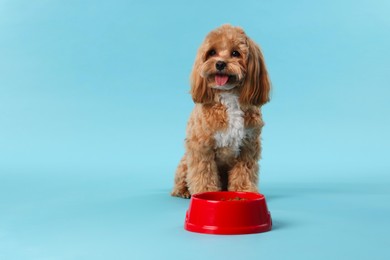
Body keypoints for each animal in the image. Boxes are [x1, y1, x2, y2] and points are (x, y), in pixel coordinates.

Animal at [172, 24, 270, 199]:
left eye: (235, 53)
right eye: (212, 52)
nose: (219, 64)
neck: (229, 97)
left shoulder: (248, 146)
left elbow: (244, 172)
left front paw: (244, 191)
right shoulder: (201, 147)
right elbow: (204, 173)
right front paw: (205, 192)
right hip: (184, 162)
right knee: (181, 180)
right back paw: (183, 191)